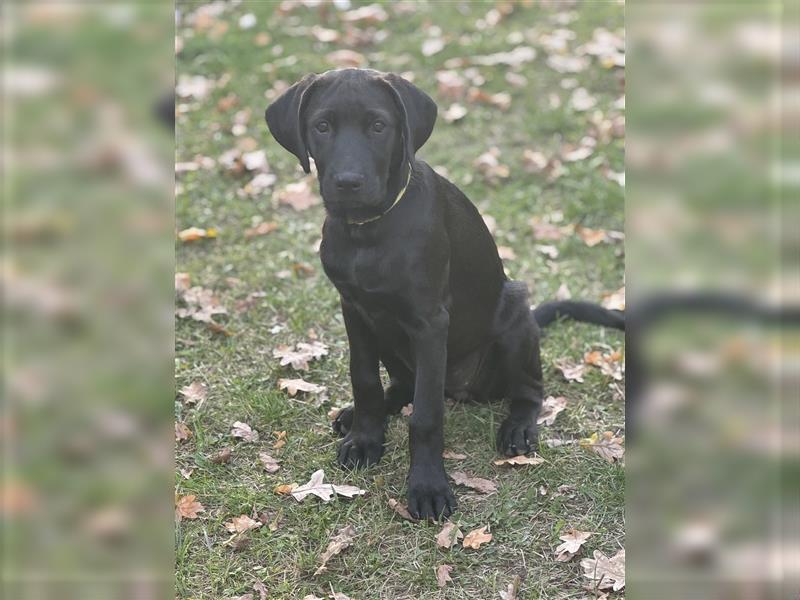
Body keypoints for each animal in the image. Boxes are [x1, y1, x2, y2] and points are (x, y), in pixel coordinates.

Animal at [266, 68, 620, 520]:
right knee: (403, 383)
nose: (348, 183)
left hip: (515, 318)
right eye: (322, 126)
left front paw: (427, 486)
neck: (369, 230)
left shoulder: (430, 323)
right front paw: (365, 438)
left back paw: (518, 427)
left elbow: (426, 416)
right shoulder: (355, 309)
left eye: (378, 126)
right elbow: (364, 380)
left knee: (528, 389)